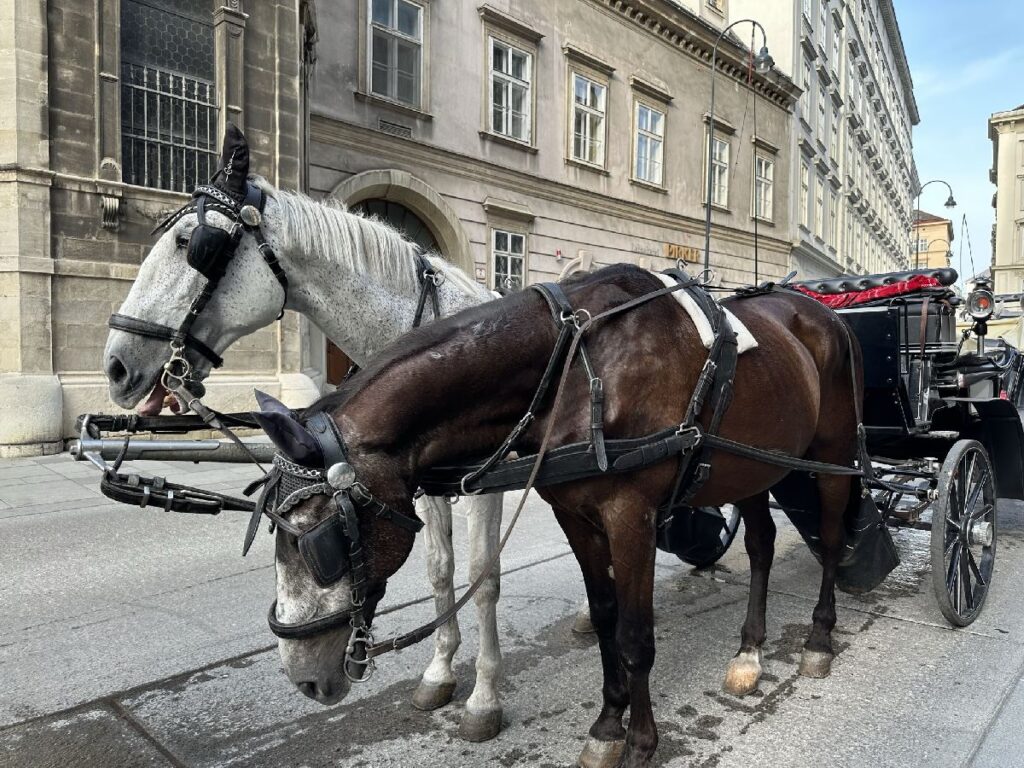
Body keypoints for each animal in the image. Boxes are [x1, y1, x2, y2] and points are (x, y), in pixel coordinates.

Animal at [103, 124, 516, 741]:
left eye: (191, 244)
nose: (116, 365)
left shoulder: (484, 486)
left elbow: (482, 579)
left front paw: (484, 698)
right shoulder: (424, 483)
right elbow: (441, 572)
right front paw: (441, 670)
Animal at [249, 264, 864, 768]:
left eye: (314, 541)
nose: (304, 676)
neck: (573, 364)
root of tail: (820, 313)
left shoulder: (631, 516)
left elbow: (636, 635)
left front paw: (641, 743)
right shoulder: (576, 515)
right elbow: (606, 618)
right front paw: (608, 726)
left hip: (833, 453)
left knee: (834, 538)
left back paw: (818, 639)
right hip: (753, 467)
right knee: (760, 545)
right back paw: (749, 653)